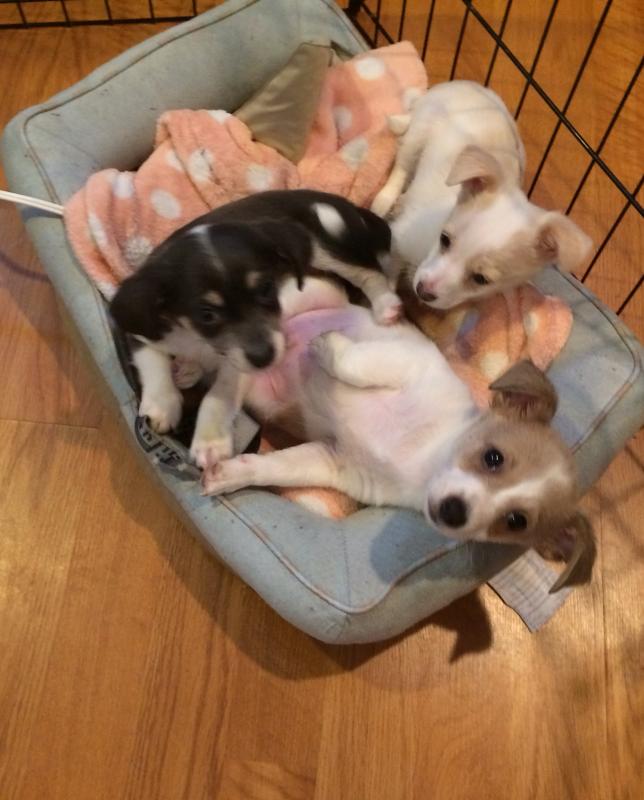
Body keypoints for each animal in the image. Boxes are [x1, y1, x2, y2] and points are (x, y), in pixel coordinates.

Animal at [110, 188, 398, 466]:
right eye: (206, 314)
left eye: (267, 288)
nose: (264, 357)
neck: (197, 338)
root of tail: (348, 205)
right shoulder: (141, 328)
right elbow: (151, 361)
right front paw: (162, 405)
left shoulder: (239, 365)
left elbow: (217, 395)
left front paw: (211, 441)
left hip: (325, 239)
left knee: (370, 272)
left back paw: (386, 306)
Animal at [204, 278, 596, 592]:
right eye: (493, 457)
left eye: (516, 522)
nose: (453, 511)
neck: (424, 459)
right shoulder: (403, 362)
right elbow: (353, 362)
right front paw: (327, 346)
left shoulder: (334, 462)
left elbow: (274, 466)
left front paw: (230, 474)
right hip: (309, 295)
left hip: (257, 394)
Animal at [370, 79, 592, 310]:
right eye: (444, 239)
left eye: (481, 279)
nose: (423, 291)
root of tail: (462, 85)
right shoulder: (401, 239)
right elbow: (391, 269)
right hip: (419, 133)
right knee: (401, 167)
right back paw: (386, 200)